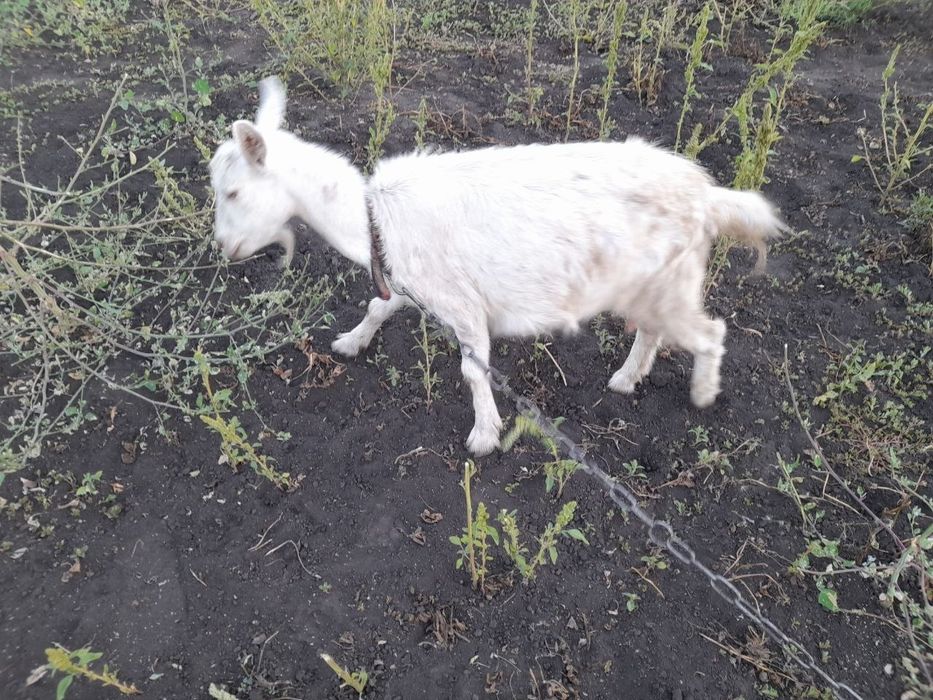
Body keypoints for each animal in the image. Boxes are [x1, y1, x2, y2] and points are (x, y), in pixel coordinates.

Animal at [209, 77, 784, 456]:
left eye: (233, 191)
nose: (225, 248)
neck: (375, 218)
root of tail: (706, 194)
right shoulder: (409, 283)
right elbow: (378, 305)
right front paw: (352, 342)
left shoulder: (461, 304)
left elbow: (472, 367)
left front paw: (484, 436)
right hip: (649, 282)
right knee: (653, 330)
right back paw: (626, 379)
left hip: (673, 279)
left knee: (709, 332)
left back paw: (701, 393)